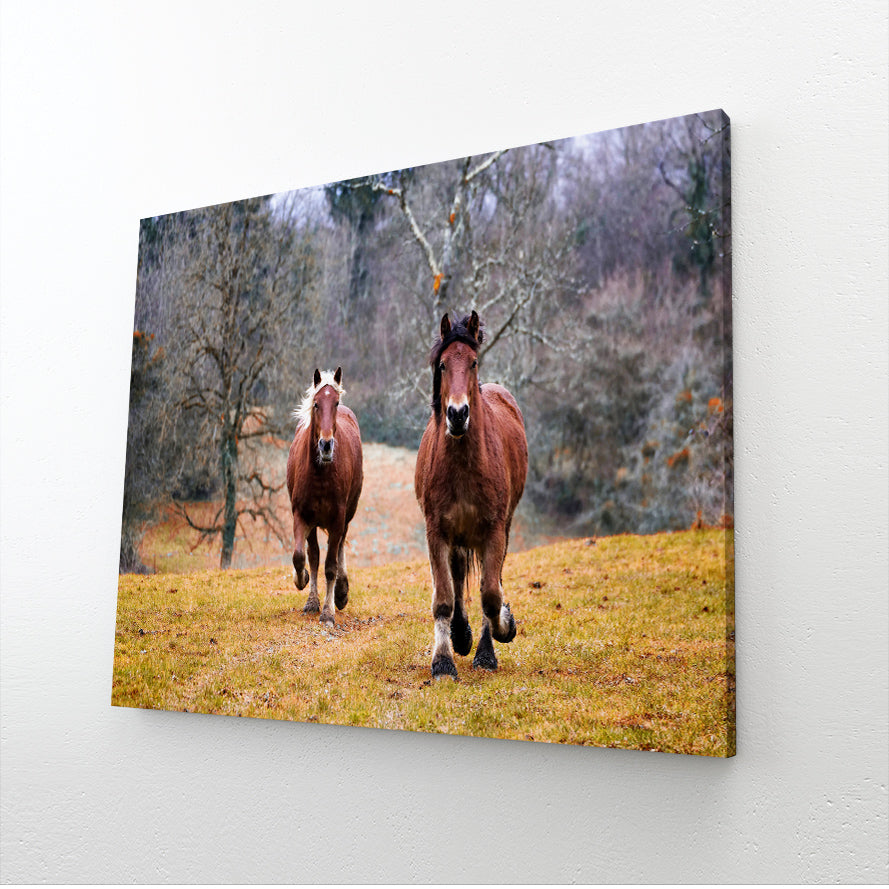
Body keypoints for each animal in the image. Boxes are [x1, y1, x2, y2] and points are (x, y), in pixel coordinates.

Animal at [287, 367, 363, 627]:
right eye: (316, 404)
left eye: (336, 403)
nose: (326, 445)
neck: (320, 473)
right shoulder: (301, 516)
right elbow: (302, 557)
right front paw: (303, 582)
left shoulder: (338, 519)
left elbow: (330, 566)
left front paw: (329, 612)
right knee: (313, 555)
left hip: (347, 516)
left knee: (338, 549)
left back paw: (341, 592)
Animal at [414, 311, 529, 678]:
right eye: (443, 365)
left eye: (474, 362)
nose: (457, 414)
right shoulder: (436, 531)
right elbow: (444, 597)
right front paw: (443, 660)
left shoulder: (494, 530)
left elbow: (491, 595)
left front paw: (501, 632)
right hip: (457, 535)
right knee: (459, 573)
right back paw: (460, 635)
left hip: (501, 526)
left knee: (489, 581)